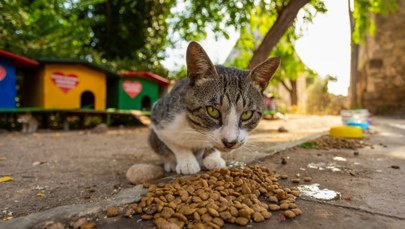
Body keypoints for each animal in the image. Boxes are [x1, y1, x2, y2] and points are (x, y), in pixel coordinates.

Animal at [147, 41, 280, 175]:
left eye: (247, 114)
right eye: (212, 111)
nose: (230, 142)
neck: (198, 132)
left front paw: (213, 158)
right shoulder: (160, 118)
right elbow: (175, 144)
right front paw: (187, 162)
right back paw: (170, 163)